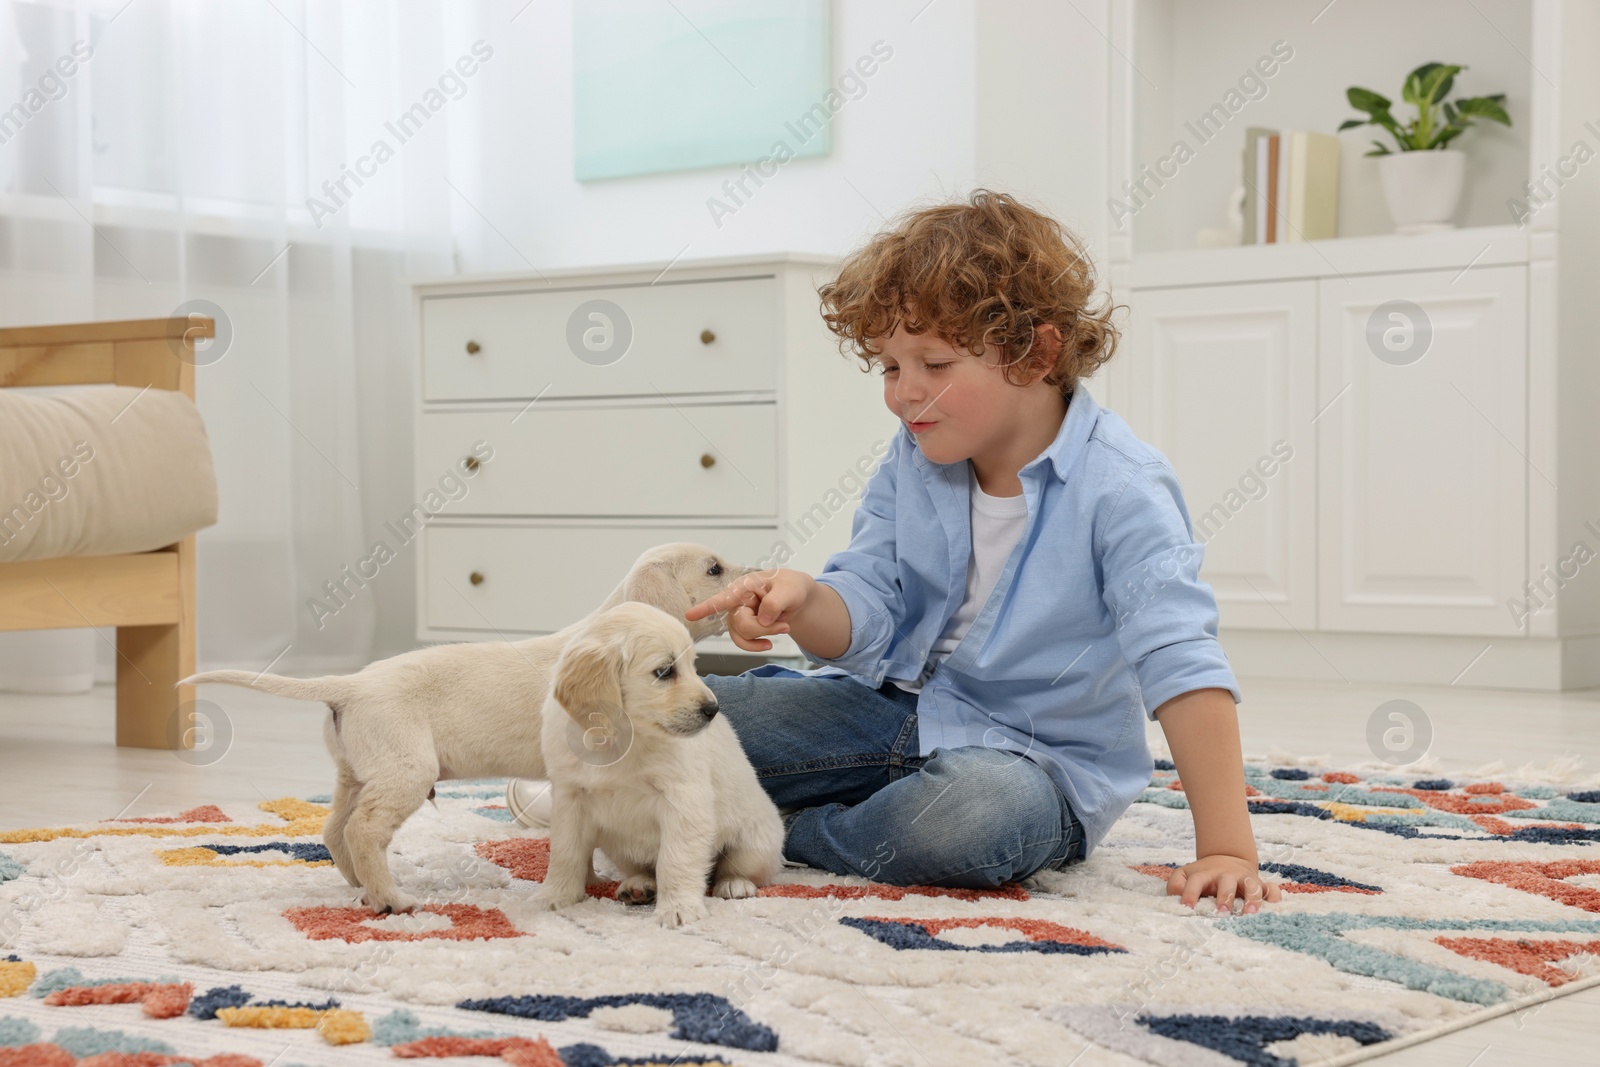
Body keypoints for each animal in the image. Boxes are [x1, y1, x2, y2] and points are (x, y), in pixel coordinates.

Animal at [178, 543, 752, 921]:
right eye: (714, 568)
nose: (755, 575)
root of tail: (351, 683)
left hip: (358, 773)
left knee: (334, 831)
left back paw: (361, 886)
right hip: (405, 771)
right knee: (363, 831)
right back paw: (391, 898)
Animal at [540, 601, 784, 927]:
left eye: (694, 666)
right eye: (665, 671)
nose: (713, 709)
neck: (621, 738)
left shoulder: (683, 799)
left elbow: (675, 859)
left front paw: (679, 908)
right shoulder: (569, 797)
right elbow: (565, 851)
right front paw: (556, 896)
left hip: (756, 839)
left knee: (740, 870)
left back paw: (735, 884)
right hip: (619, 849)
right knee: (644, 867)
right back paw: (639, 886)